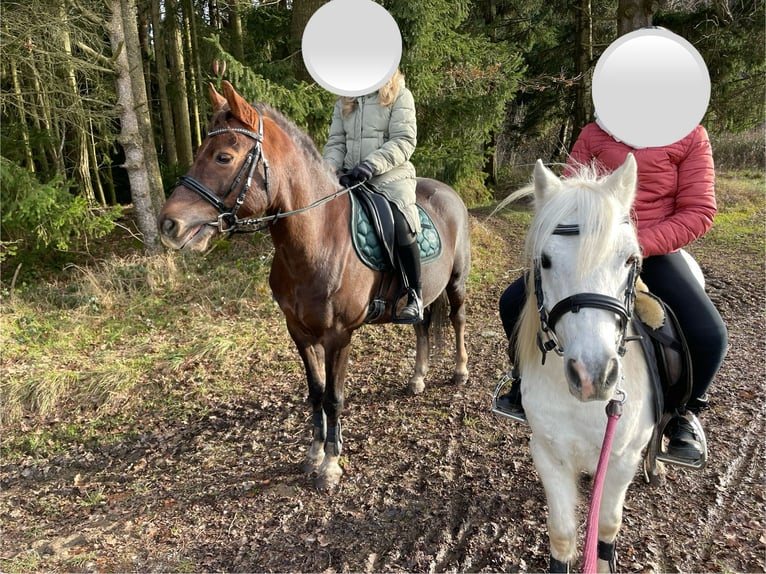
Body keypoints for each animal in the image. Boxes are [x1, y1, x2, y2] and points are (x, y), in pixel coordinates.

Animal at [157, 81, 471, 490]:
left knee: (458, 319)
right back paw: (417, 378)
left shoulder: (338, 335)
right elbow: (316, 393)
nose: (168, 224)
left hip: (457, 281)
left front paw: (331, 465)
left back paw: (461, 372)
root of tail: (446, 191)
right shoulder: (300, 332)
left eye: (224, 157)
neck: (317, 238)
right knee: (421, 326)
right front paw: (313, 453)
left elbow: (334, 397)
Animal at [508, 155, 655, 572]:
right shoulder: (548, 453)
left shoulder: (622, 459)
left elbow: (606, 527)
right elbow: (561, 534)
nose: (593, 376)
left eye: (630, 259)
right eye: (545, 260)